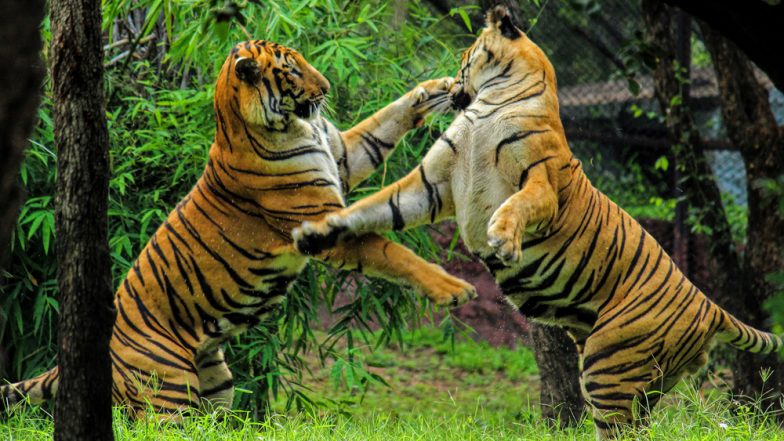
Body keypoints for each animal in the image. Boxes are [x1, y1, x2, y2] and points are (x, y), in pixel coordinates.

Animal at [0, 39, 476, 417]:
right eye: (291, 69)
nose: (326, 88)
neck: (291, 125)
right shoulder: (322, 222)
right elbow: (392, 253)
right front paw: (454, 290)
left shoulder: (343, 155)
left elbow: (385, 122)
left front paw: (434, 89)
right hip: (169, 393)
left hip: (217, 382)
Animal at [293, 7, 782, 438]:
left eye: (464, 56)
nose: (450, 84)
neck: (490, 103)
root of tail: (710, 305)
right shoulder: (432, 184)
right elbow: (374, 206)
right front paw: (317, 230)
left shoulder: (540, 182)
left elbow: (516, 207)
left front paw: (503, 241)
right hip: (634, 377)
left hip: (610, 364)